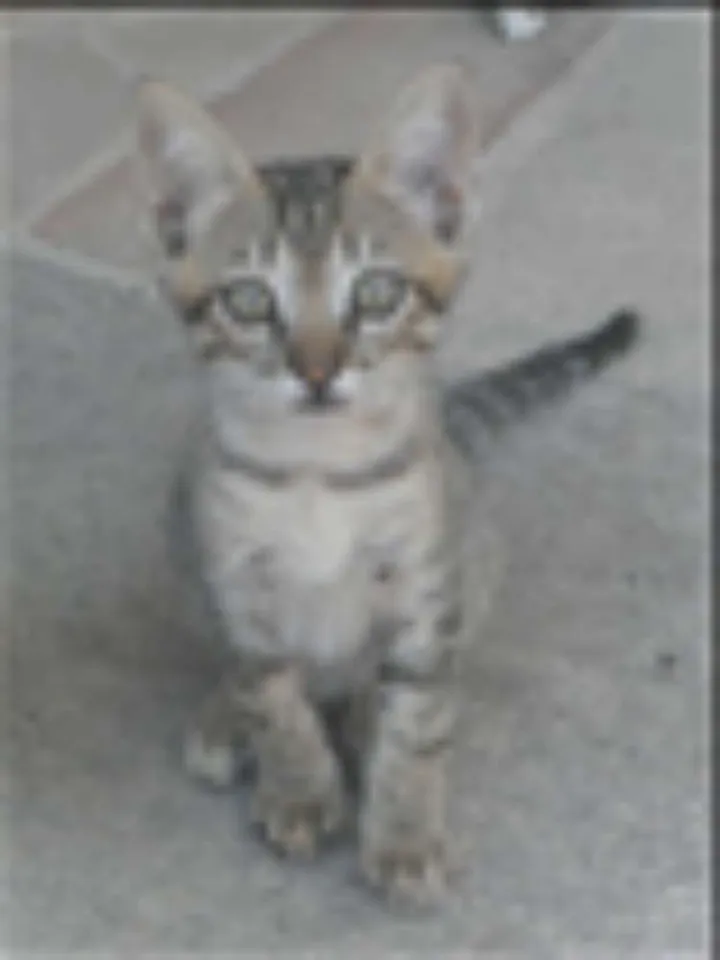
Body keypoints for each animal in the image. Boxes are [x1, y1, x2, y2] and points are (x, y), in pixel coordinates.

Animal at [135, 63, 639, 907]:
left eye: (375, 293)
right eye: (249, 299)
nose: (316, 372)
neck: (319, 473)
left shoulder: (427, 587)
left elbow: (418, 720)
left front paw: (403, 831)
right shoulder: (235, 578)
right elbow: (274, 692)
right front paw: (299, 786)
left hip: (477, 555)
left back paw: (365, 711)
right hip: (182, 534)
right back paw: (228, 718)